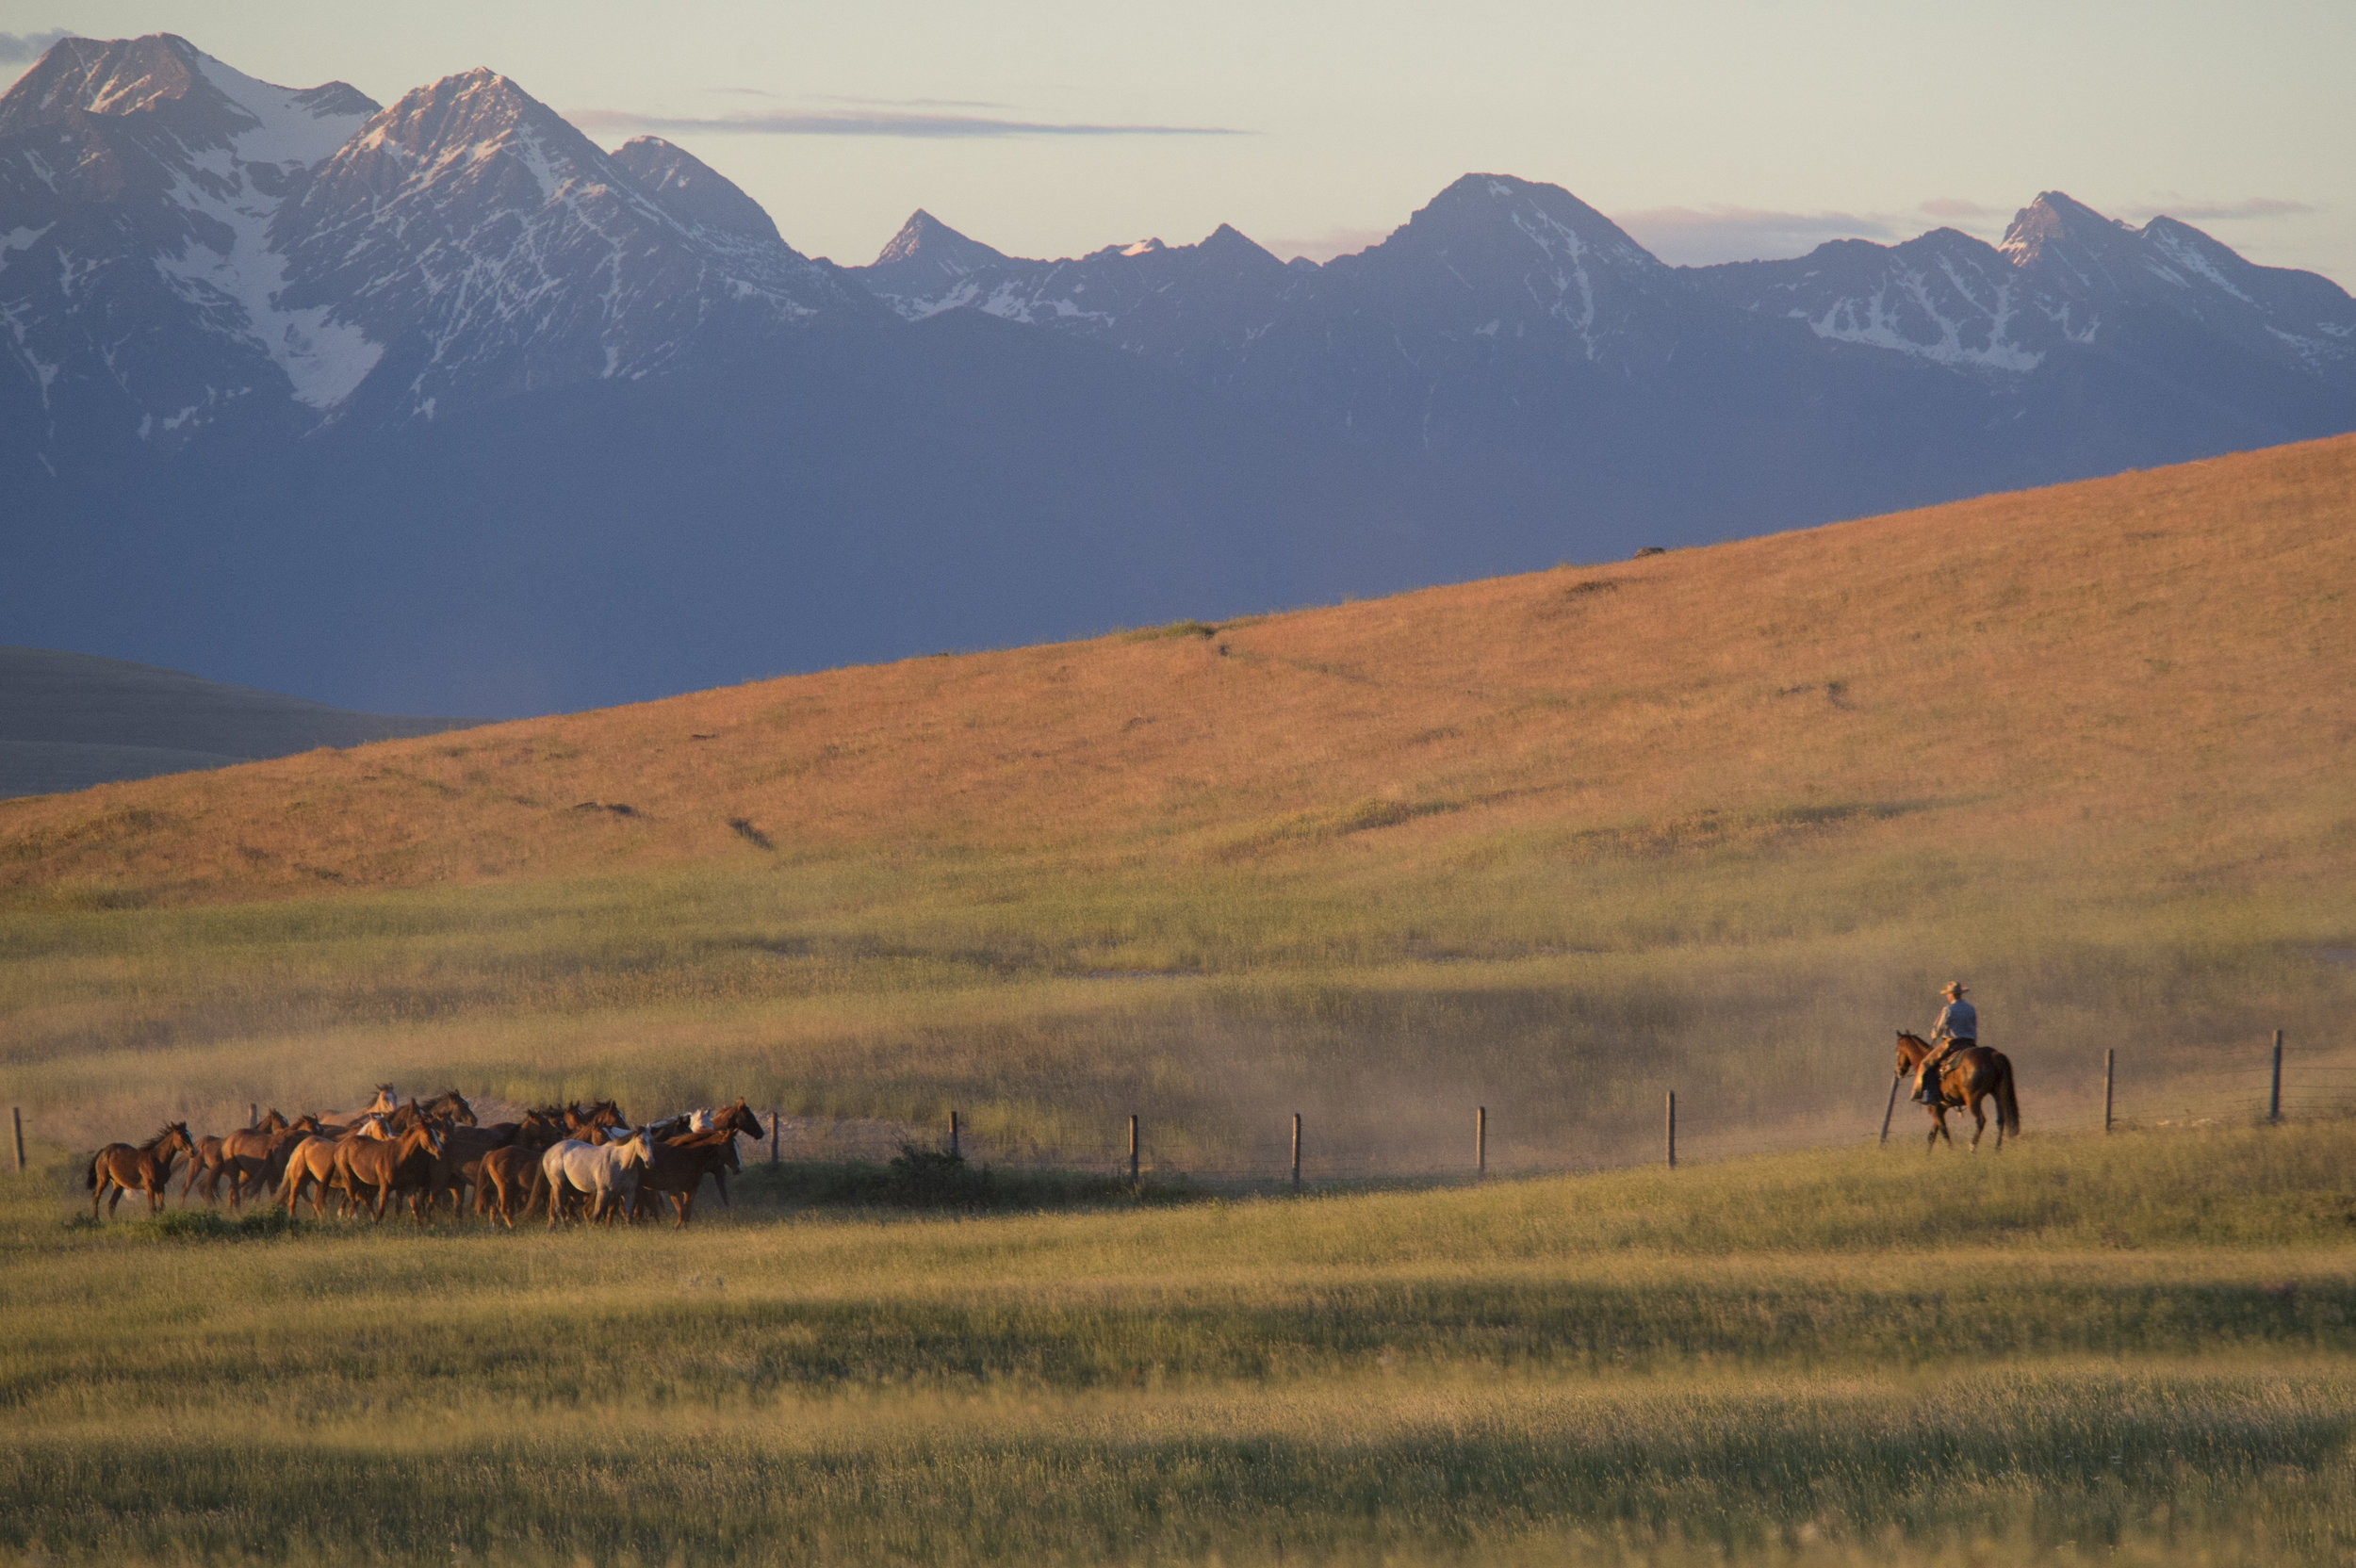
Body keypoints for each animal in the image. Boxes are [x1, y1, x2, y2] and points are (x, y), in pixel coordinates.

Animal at [1894, 1026, 2026, 1149]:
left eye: (1897, 1050)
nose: (1898, 1071)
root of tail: (1993, 1055)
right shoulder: (1941, 1108)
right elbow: (1932, 1136)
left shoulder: (1933, 1108)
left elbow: (1944, 1132)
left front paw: (1951, 1151)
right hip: (1997, 1094)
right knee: (2000, 1120)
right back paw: (1996, 1149)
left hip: (1973, 1099)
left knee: (1981, 1120)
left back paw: (1973, 1148)